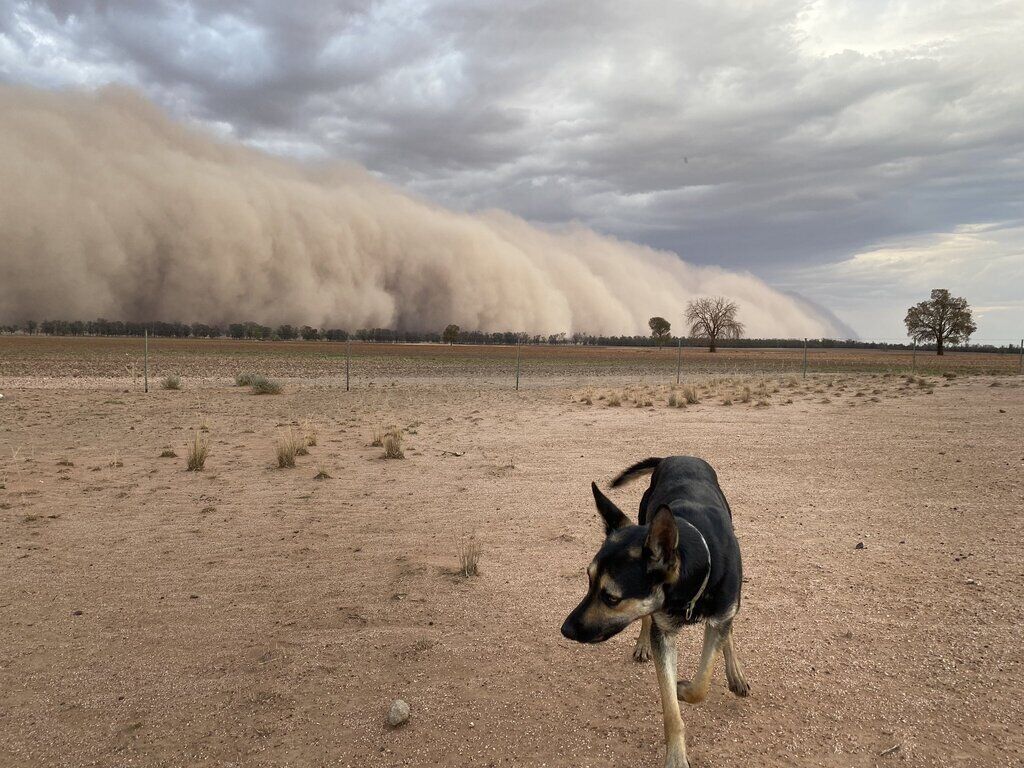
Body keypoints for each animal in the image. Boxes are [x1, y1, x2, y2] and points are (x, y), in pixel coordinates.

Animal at [561, 456, 753, 768]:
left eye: (611, 598)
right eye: (588, 581)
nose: (565, 629)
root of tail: (675, 456)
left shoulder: (721, 612)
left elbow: (702, 681)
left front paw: (684, 688)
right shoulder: (663, 633)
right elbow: (672, 709)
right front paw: (676, 755)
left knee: (727, 629)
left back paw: (735, 673)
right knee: (646, 619)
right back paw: (642, 644)